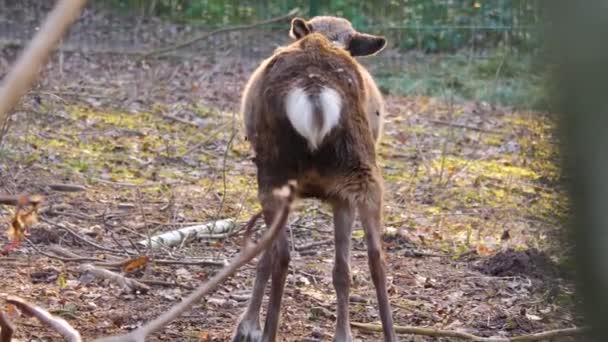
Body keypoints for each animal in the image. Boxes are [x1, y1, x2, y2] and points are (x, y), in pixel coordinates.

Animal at [235, 22, 396, 342]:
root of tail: (315, 90)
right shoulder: (343, 198)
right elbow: (342, 271)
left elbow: (264, 257)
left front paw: (248, 325)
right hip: (363, 176)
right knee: (376, 258)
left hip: (273, 176)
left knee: (280, 254)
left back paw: (269, 332)